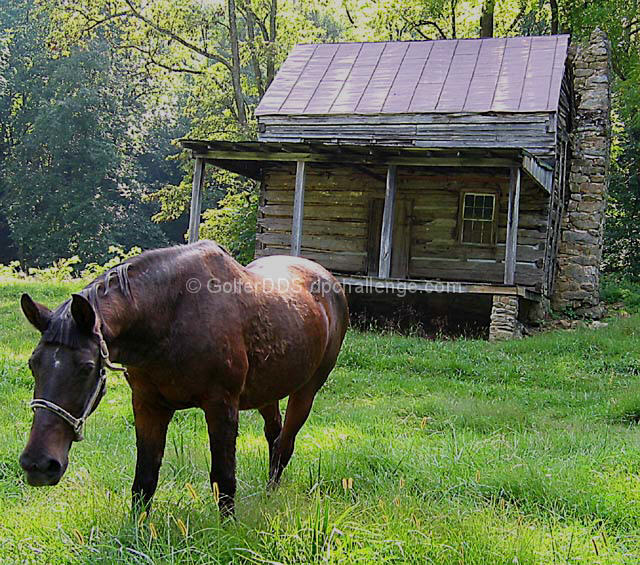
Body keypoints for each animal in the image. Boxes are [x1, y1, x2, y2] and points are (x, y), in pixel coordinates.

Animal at [18, 240, 350, 512]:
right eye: (34, 364)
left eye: (87, 366)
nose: (39, 464)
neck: (172, 315)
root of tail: (328, 279)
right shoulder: (148, 405)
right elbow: (145, 480)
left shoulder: (221, 406)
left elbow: (224, 479)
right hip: (266, 393)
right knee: (275, 436)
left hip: (306, 391)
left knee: (285, 444)